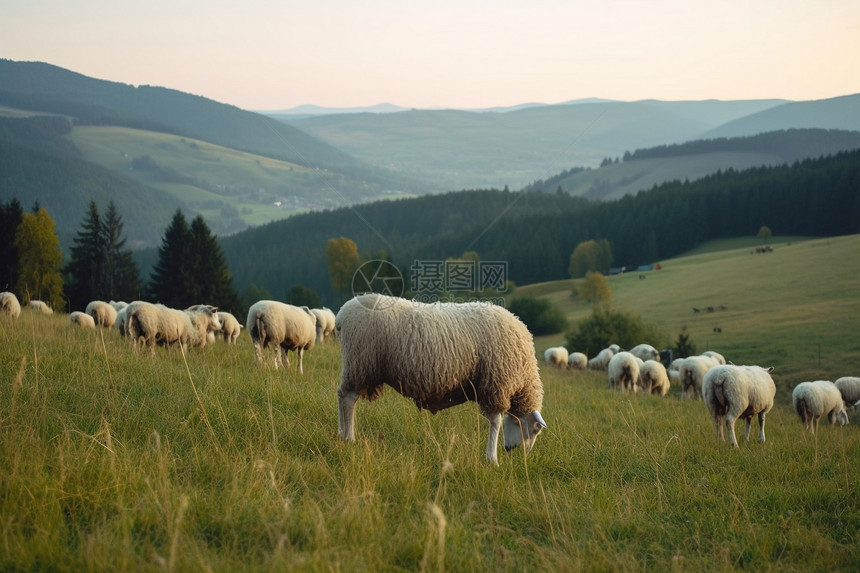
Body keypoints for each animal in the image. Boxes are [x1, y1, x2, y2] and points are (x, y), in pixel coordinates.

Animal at [334, 294, 544, 464]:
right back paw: (349, 437)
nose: (519, 454)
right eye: (535, 429)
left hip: (357, 365)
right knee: (348, 399)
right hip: (360, 362)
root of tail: (341, 315)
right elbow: (495, 422)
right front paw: (492, 459)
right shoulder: (496, 384)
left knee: (341, 395)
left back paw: (341, 434)